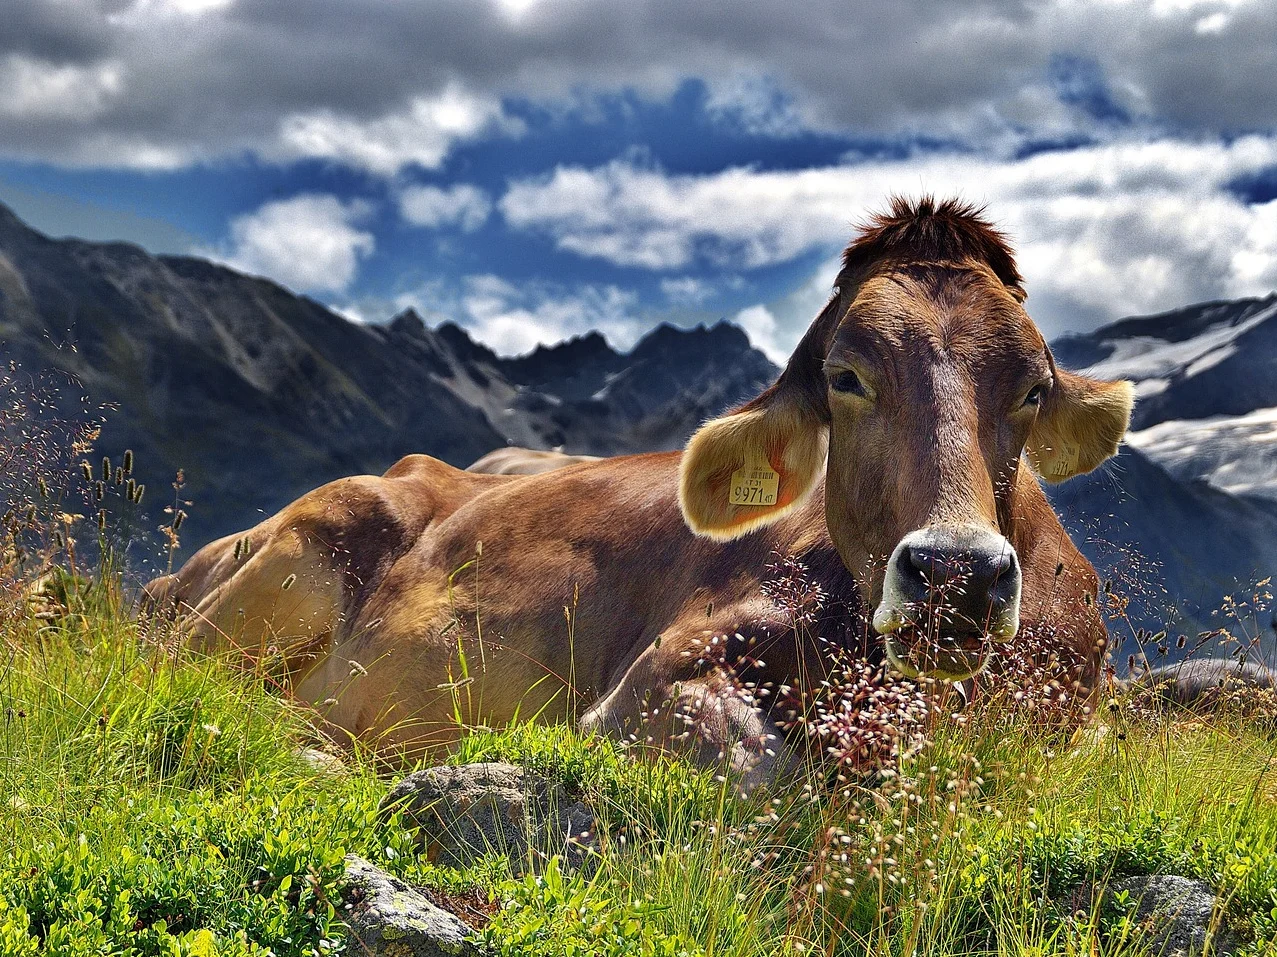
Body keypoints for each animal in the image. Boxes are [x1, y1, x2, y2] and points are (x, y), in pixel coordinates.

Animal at [144, 195, 1133, 781]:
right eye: (846, 375)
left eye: (1032, 386)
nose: (955, 575)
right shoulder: (650, 682)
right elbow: (759, 768)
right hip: (304, 547)